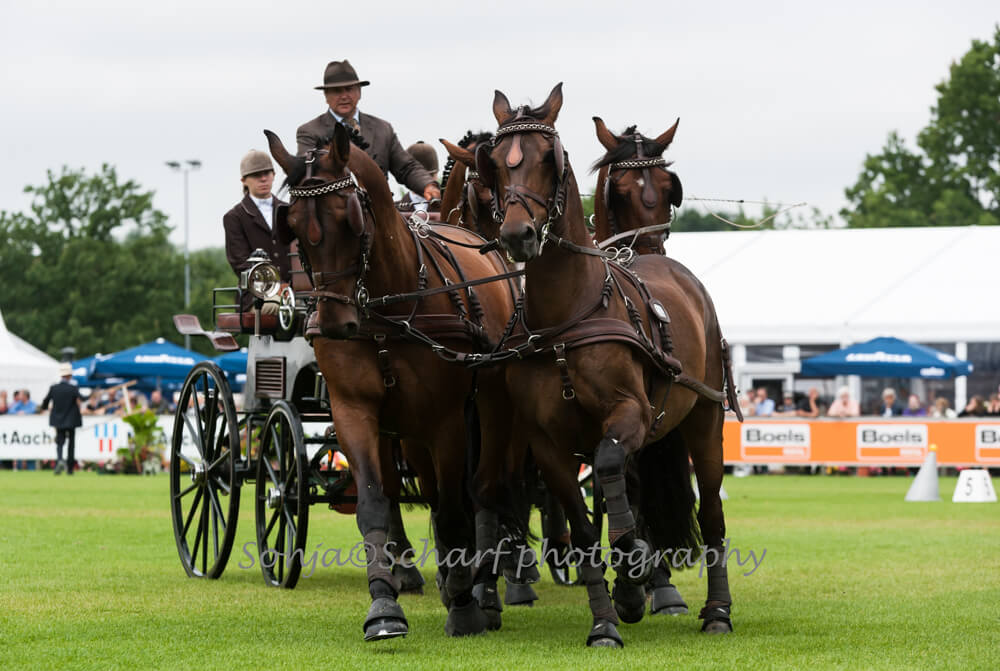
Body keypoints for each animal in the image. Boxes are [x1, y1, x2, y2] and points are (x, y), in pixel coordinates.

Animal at [264, 123, 520, 641]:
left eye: (350, 219)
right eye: (294, 228)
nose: (336, 323)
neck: (388, 305)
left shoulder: (445, 419)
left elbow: (453, 505)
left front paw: (464, 603)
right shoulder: (355, 411)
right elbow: (374, 502)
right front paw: (383, 605)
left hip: (485, 409)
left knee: (480, 488)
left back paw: (478, 587)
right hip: (402, 429)